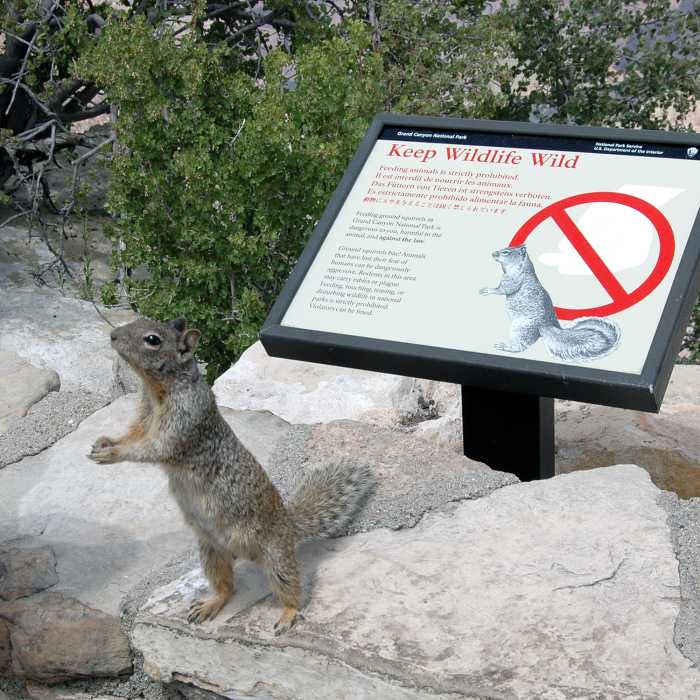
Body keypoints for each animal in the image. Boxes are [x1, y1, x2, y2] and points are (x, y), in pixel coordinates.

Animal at [88, 317, 373, 634]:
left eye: (152, 339)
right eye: (137, 322)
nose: (113, 336)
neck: (155, 391)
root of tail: (289, 524)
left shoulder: (183, 423)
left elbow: (152, 449)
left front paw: (113, 454)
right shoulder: (143, 419)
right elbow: (132, 436)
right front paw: (106, 442)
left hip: (275, 556)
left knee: (292, 588)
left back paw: (287, 614)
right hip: (211, 552)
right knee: (226, 587)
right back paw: (209, 604)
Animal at [479, 245, 621, 362]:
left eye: (506, 252)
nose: (493, 253)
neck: (522, 267)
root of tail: (546, 326)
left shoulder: (513, 279)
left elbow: (504, 289)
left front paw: (488, 290)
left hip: (520, 328)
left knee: (520, 346)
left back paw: (505, 346)